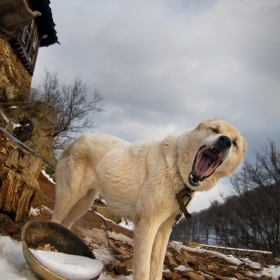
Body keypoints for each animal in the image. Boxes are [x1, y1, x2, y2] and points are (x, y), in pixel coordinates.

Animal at [51, 119, 246, 278]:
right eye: (214, 130)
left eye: (235, 143)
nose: (225, 141)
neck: (176, 170)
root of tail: (79, 138)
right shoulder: (147, 225)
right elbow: (143, 271)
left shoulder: (164, 230)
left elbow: (157, 269)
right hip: (69, 196)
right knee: (55, 220)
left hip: (83, 203)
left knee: (65, 225)